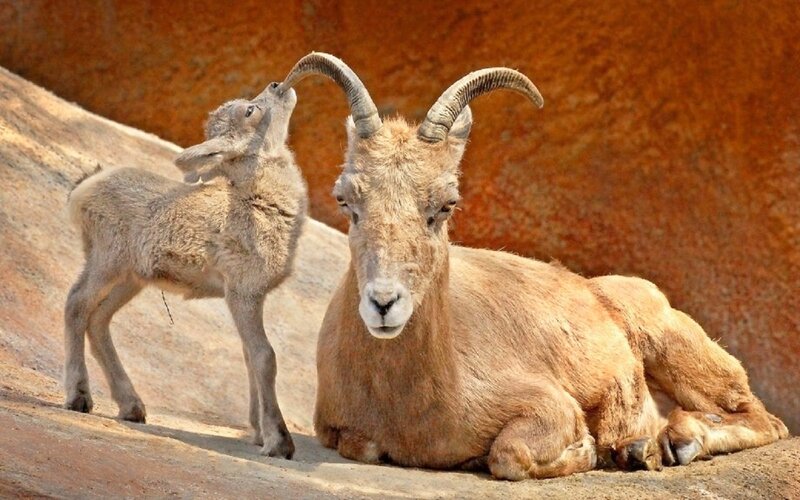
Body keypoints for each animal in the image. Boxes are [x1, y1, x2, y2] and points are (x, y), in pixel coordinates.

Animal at [63, 81, 306, 459]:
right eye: (251, 111)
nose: (277, 86)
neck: (257, 205)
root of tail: (86, 187)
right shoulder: (243, 294)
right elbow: (264, 357)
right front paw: (278, 442)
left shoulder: (249, 299)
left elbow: (249, 356)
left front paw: (257, 433)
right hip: (107, 261)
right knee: (76, 304)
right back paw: (79, 398)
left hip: (130, 279)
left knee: (98, 318)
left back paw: (132, 408)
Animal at [277, 53, 789, 479]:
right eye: (346, 199)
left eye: (446, 204)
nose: (384, 304)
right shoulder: (341, 431)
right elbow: (364, 447)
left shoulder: (545, 405)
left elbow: (509, 455)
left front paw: (589, 449)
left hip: (678, 348)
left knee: (764, 419)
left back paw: (664, 444)